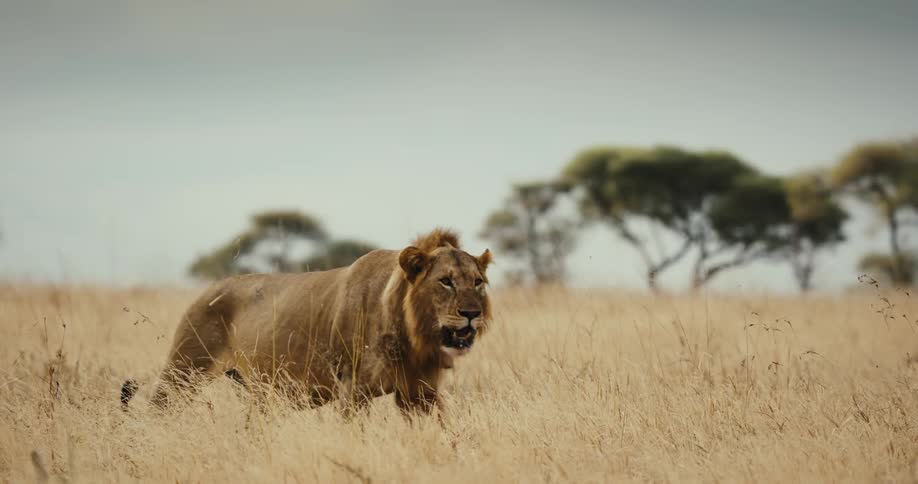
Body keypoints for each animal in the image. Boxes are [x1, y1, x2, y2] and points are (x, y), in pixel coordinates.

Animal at [121, 228, 493, 415]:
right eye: (445, 281)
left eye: (477, 282)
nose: (472, 313)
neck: (413, 335)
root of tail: (209, 288)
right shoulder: (352, 391)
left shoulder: (420, 394)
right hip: (183, 370)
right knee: (159, 407)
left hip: (259, 393)